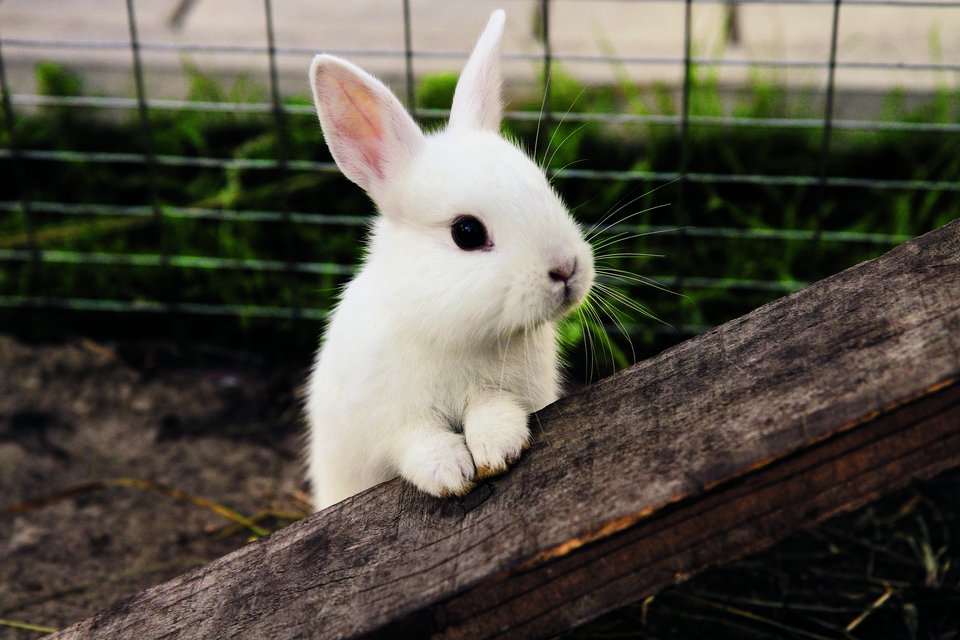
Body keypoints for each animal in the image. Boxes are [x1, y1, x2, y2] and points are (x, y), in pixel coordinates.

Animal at [304, 9, 595, 511]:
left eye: (543, 185)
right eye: (467, 232)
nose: (566, 270)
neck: (455, 333)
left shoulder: (506, 392)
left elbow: (493, 411)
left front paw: (498, 449)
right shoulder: (390, 423)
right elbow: (417, 442)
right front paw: (450, 473)